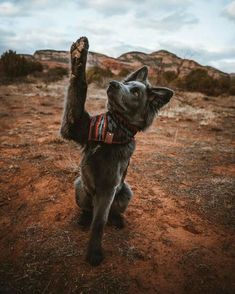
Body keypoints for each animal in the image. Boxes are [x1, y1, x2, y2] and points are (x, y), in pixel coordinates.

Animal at [60, 36, 174, 266]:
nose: (113, 84)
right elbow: (79, 86)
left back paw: (118, 219)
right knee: (87, 210)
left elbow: (100, 222)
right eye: (126, 83)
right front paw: (79, 54)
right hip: (80, 186)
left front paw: (94, 252)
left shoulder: (108, 188)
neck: (113, 128)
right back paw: (83, 218)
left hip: (126, 192)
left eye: (136, 92)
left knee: (110, 213)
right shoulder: (74, 124)